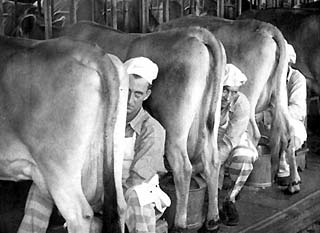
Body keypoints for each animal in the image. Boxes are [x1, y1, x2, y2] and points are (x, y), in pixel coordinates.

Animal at [63, 20, 226, 232]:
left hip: (175, 128)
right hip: (210, 120)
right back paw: (212, 219)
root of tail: (195, 33)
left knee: (183, 167)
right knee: (212, 160)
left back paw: (180, 224)